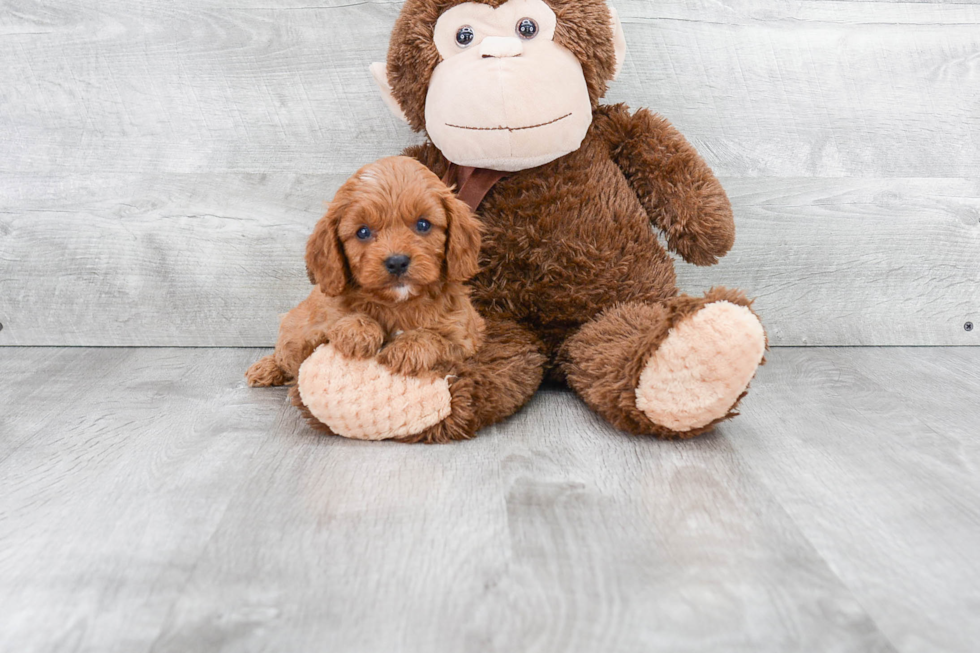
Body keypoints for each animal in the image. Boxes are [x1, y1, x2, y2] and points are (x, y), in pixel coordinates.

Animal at [247, 154, 484, 388]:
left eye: (423, 225)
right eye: (363, 232)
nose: (397, 262)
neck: (398, 304)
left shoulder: (465, 338)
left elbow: (438, 339)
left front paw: (407, 347)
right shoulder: (313, 326)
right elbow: (332, 325)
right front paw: (358, 330)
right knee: (284, 355)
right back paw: (267, 367)